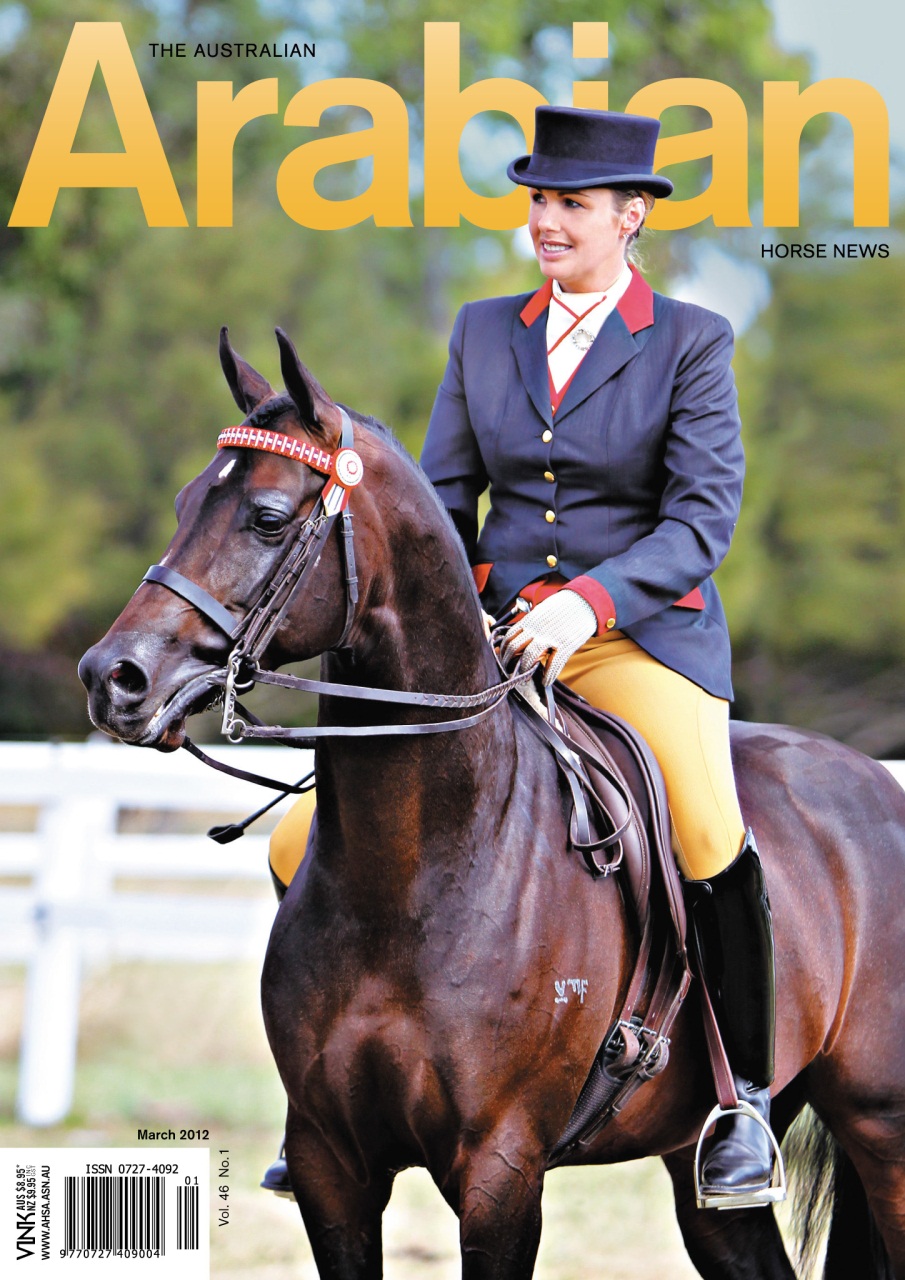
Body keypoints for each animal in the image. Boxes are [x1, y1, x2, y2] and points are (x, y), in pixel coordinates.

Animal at [79, 328, 905, 1279]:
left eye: (269, 518)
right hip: (697, 1171)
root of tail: (873, 781)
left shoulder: (499, 1171)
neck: (420, 868)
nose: (112, 678)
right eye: (186, 503)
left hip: (883, 1127)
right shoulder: (330, 1167)